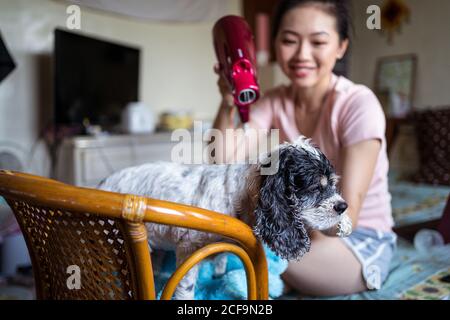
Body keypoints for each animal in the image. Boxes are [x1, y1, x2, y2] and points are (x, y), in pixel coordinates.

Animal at [97, 136, 352, 300]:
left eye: (332, 183)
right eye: (315, 187)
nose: (343, 206)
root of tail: (101, 184)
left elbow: (220, 262)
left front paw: (218, 275)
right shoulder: (189, 247)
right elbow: (185, 285)